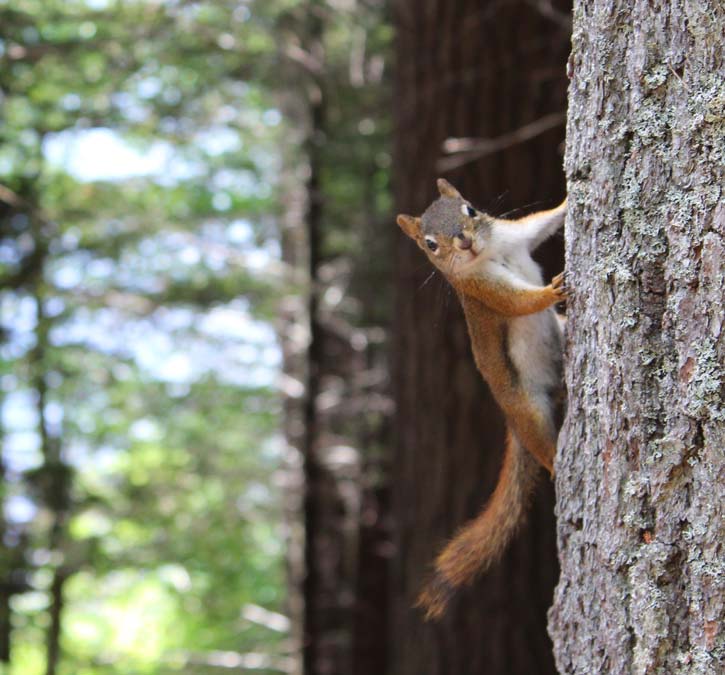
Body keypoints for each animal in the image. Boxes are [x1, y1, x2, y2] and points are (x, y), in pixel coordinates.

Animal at [396, 178, 564, 616]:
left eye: (470, 210)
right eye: (430, 245)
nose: (464, 242)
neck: (490, 252)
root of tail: (511, 421)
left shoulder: (515, 235)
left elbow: (543, 222)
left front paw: (569, 200)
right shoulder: (481, 290)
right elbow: (518, 302)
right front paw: (551, 291)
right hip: (527, 409)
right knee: (542, 447)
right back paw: (558, 463)